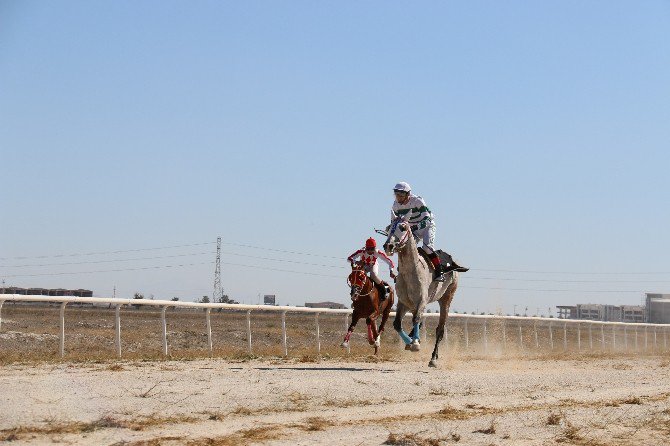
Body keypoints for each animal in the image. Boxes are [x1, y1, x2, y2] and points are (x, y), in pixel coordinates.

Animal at [384, 216, 462, 366]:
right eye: (388, 227)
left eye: (402, 227)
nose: (388, 246)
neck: (411, 271)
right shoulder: (404, 302)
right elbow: (397, 324)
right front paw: (410, 341)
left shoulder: (421, 300)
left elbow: (416, 319)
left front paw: (414, 343)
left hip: (446, 299)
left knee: (440, 330)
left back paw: (433, 358)